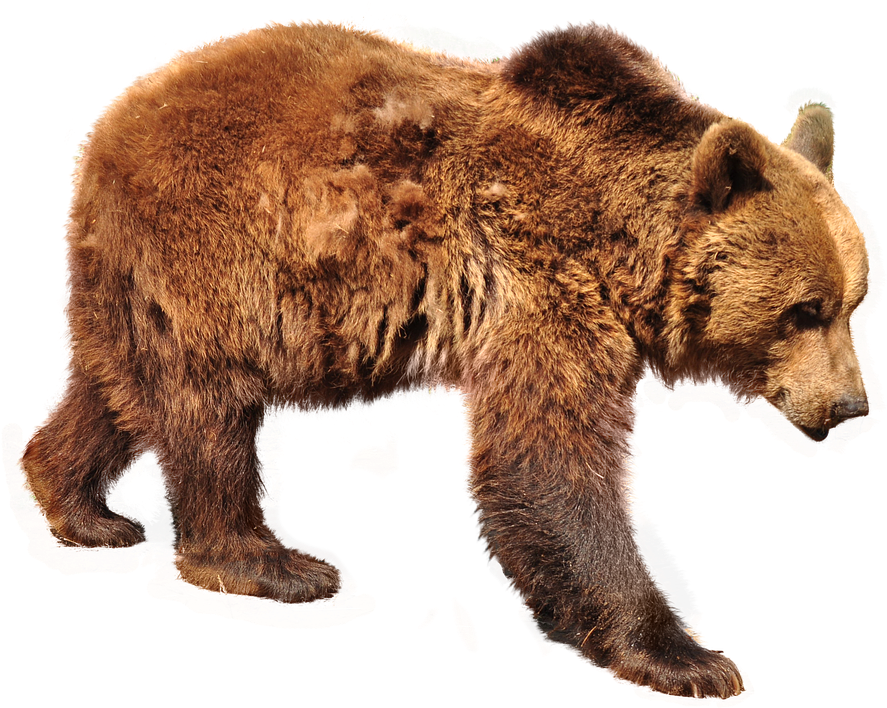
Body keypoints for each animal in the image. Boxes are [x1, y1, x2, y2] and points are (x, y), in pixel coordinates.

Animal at [23, 19, 871, 699]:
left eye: (858, 300)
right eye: (804, 309)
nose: (850, 406)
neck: (618, 239)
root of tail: (110, 123)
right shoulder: (540, 279)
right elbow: (548, 457)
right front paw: (684, 656)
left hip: (135, 280)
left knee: (113, 389)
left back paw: (84, 508)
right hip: (216, 248)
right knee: (211, 411)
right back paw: (276, 560)